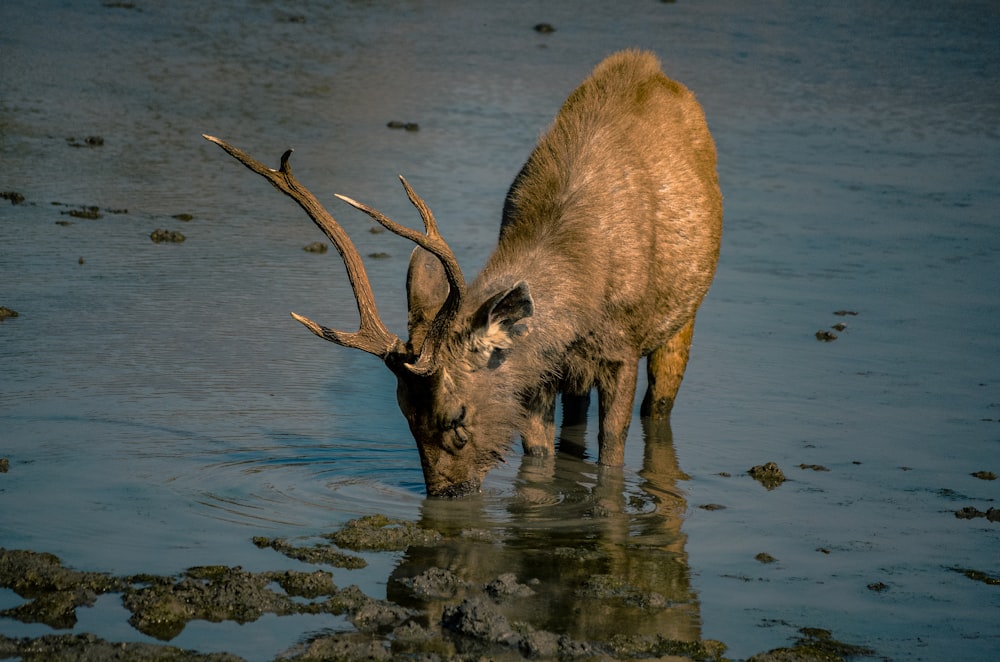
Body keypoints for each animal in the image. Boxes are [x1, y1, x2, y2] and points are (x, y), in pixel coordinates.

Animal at [205, 50, 720, 498]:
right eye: (405, 415)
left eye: (456, 417)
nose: (445, 494)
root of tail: (651, 66)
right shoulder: (537, 369)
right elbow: (540, 457)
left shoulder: (620, 350)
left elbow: (612, 457)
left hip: (683, 318)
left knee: (659, 407)